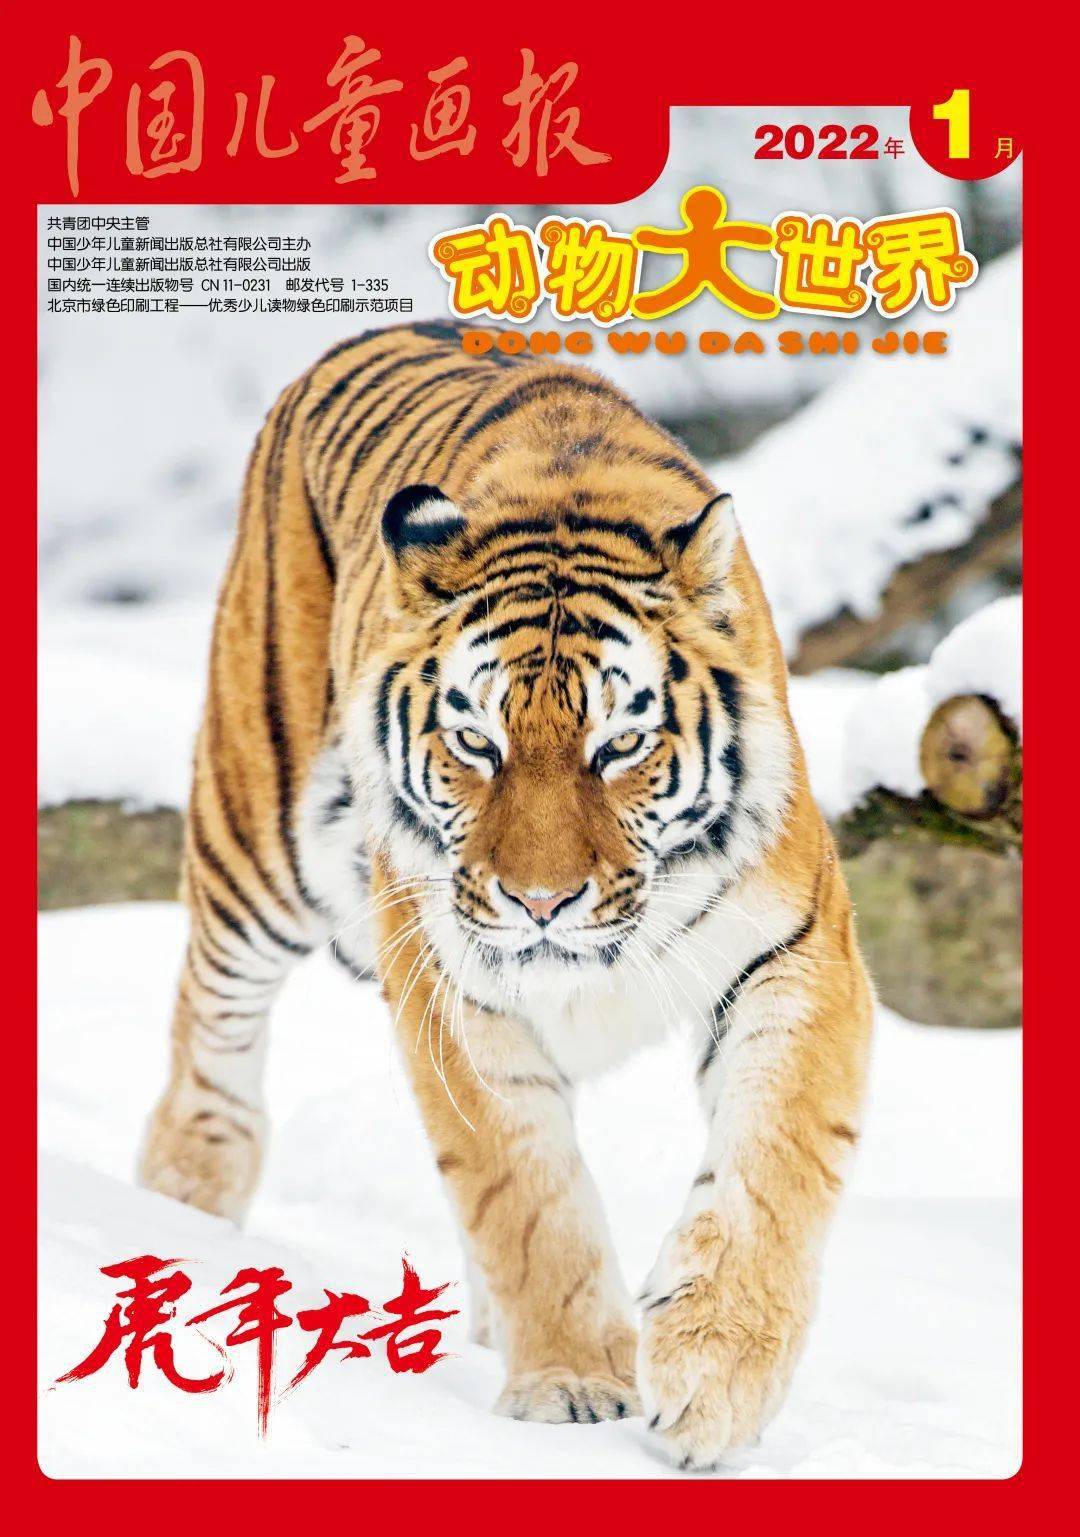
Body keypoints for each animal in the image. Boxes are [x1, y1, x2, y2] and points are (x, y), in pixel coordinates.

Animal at [139, 319, 873, 1470]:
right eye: (477, 742)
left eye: (619, 745)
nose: (541, 901)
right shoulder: (449, 991)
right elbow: (526, 1192)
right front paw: (575, 1381)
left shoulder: (797, 954)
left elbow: (772, 1163)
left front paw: (714, 1375)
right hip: (258, 836)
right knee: (211, 1023)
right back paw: (183, 1213)